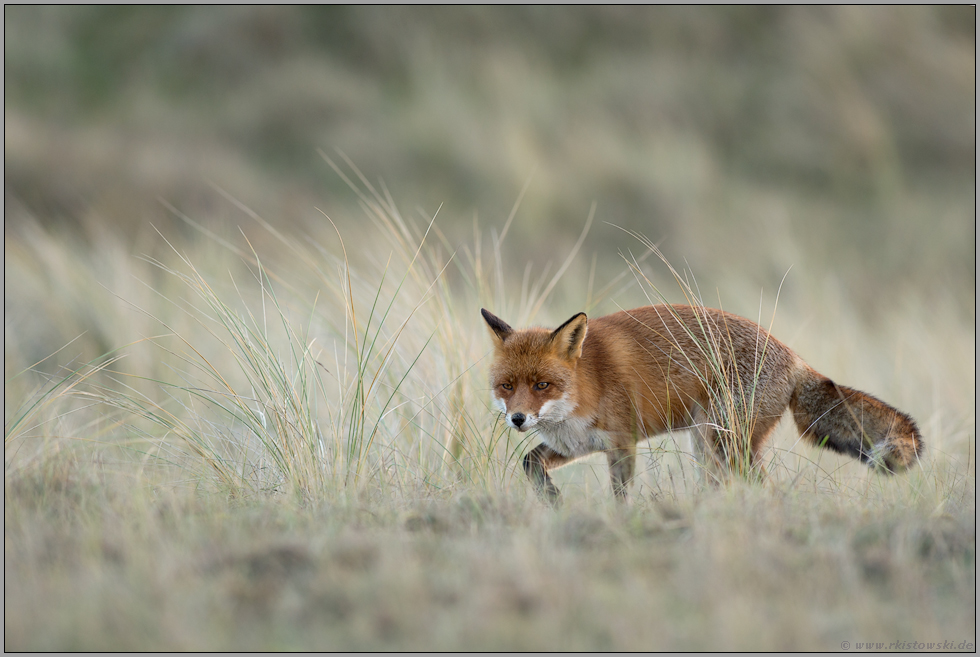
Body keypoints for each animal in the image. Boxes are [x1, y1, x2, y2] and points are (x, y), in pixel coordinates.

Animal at [486, 304, 924, 502]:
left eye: (542, 384)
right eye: (506, 386)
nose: (518, 419)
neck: (586, 384)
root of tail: (795, 358)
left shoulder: (622, 443)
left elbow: (621, 496)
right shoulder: (576, 445)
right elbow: (529, 461)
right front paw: (552, 501)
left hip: (721, 441)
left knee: (764, 488)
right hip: (711, 444)